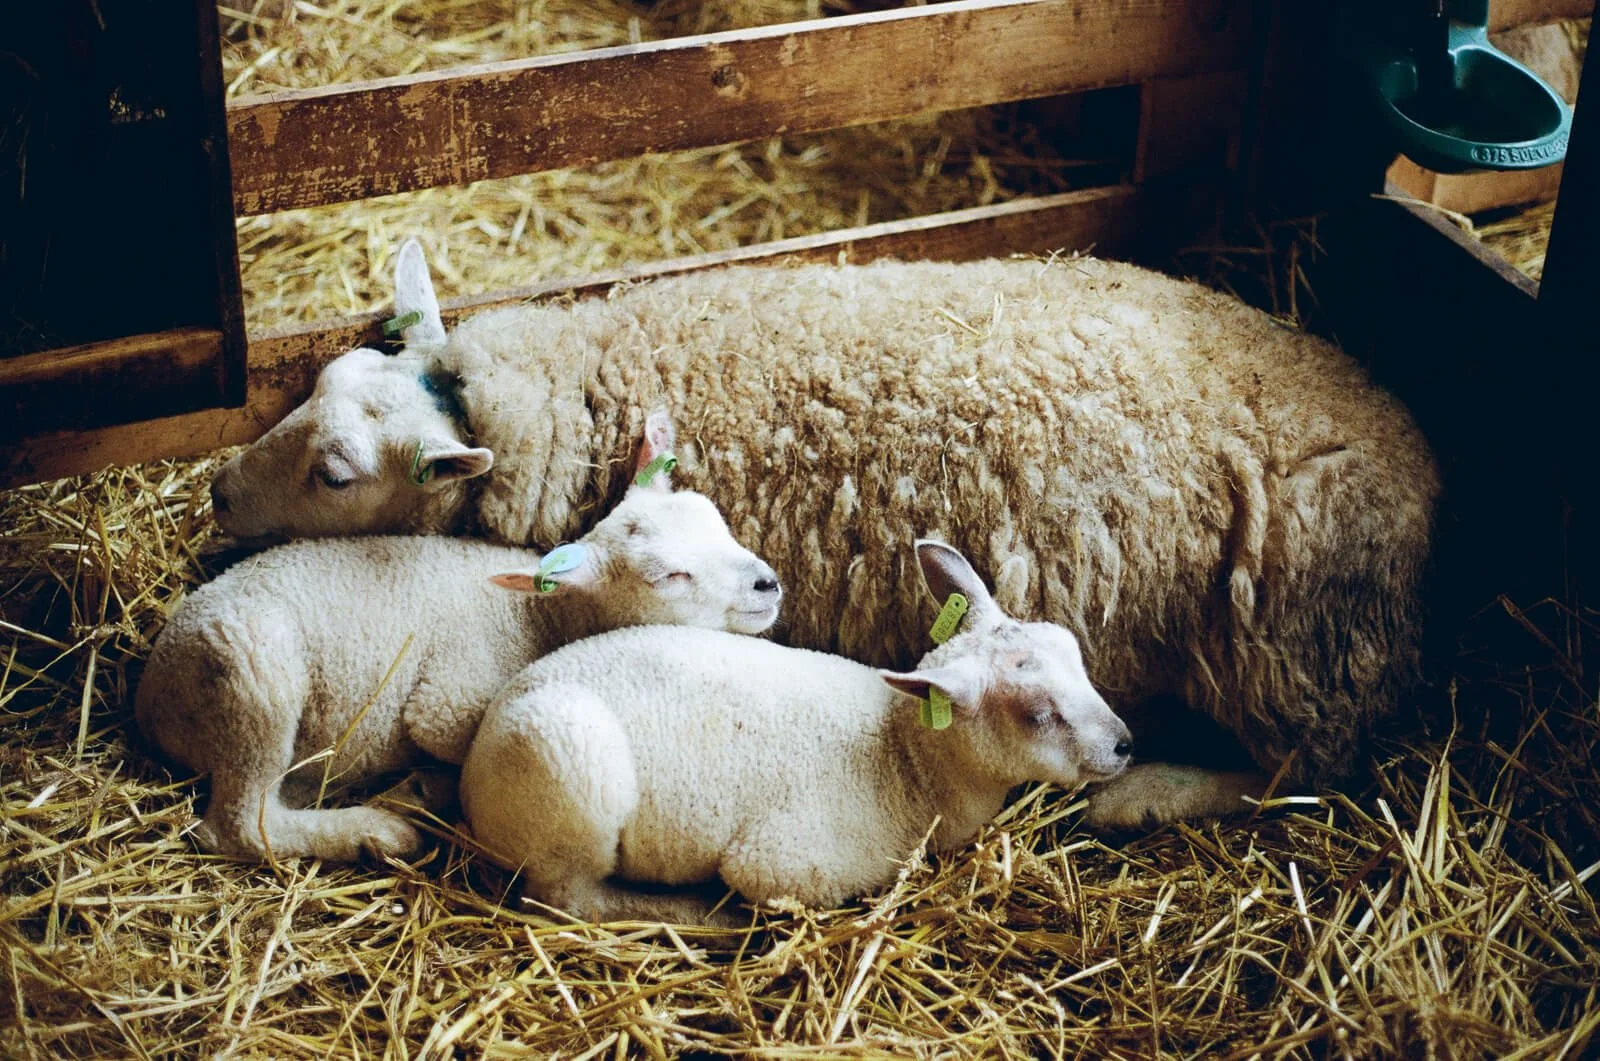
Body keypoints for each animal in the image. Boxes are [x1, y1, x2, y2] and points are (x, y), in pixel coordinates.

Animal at [136, 413, 782, 862]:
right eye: (669, 576)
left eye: (715, 518)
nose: (768, 584)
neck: (544, 617)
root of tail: (152, 691)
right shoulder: (449, 702)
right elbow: (445, 735)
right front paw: (426, 786)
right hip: (251, 677)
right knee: (241, 825)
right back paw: (377, 831)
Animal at [209, 242, 1440, 831]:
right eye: (318, 382)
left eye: (335, 472)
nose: (218, 493)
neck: (596, 398)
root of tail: (1422, 473)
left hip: (1293, 645)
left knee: (1300, 768)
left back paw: (1146, 793)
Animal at [459, 539, 1133, 924]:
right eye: (1036, 715)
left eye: (1073, 651)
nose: (1125, 744)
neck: (905, 761)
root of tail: (472, 771)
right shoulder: (784, 865)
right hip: (569, 782)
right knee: (571, 899)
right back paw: (696, 916)